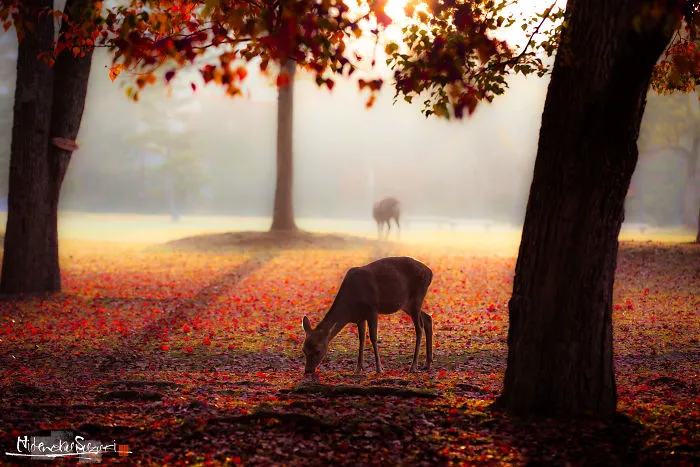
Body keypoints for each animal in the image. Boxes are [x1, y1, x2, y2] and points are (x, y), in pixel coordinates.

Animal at [301, 256, 433, 375]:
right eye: (304, 350)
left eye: (318, 351)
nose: (308, 370)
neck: (349, 309)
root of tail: (430, 273)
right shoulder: (360, 317)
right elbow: (361, 339)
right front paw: (358, 368)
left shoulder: (372, 309)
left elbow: (373, 337)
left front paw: (379, 369)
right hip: (406, 304)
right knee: (428, 318)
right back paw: (427, 363)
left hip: (417, 297)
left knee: (419, 328)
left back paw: (414, 366)